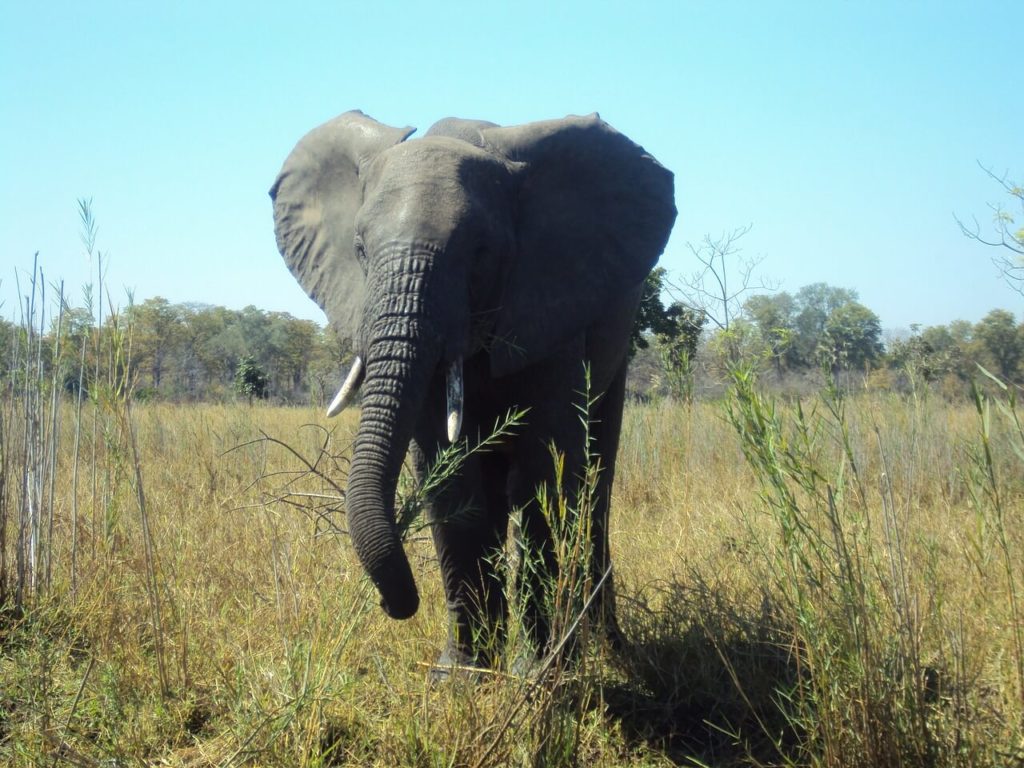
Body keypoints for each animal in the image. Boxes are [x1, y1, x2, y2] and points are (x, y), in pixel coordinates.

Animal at [268, 109, 675, 671]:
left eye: (482, 253)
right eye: (360, 250)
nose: (394, 604)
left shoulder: (548, 304)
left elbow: (545, 471)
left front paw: (538, 675)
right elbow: (451, 481)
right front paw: (463, 676)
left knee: (595, 484)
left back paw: (607, 649)